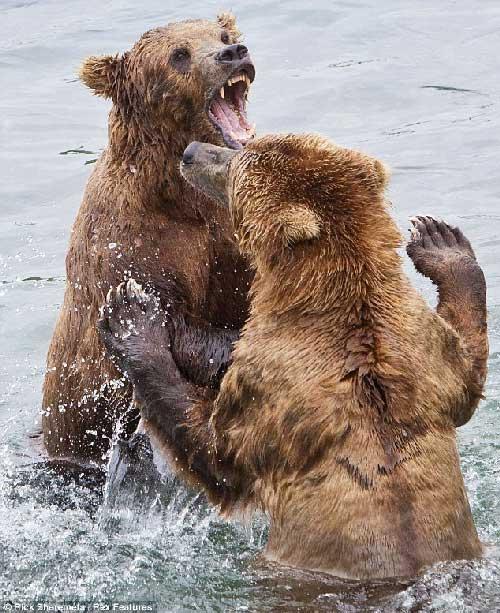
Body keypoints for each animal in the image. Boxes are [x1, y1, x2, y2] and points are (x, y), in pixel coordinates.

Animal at [41, 13, 256, 464]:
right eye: (179, 54)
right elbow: (165, 317)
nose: (233, 53)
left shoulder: (228, 228)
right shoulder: (131, 243)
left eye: (223, 35)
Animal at [97, 135, 488, 580]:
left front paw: (133, 316)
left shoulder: (274, 388)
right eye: (244, 146)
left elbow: (217, 452)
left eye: (235, 164)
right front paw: (442, 241)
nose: (192, 151)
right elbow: (466, 369)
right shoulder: (422, 352)